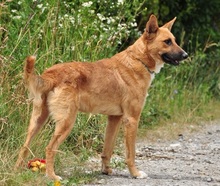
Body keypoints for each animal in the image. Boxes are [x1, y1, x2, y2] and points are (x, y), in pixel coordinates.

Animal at [15, 14, 187, 180]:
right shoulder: (131, 120)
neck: (138, 60)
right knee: (50, 148)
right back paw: (52, 176)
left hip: (37, 121)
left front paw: (106, 170)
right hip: (66, 122)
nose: (185, 55)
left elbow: (107, 150)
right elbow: (130, 154)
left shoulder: (114, 119)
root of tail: (51, 75)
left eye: (174, 40)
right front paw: (135, 174)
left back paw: (17, 171)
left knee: (24, 146)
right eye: (167, 42)